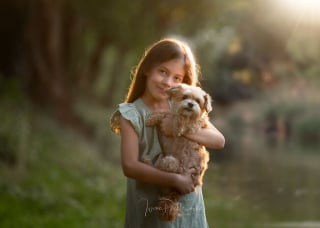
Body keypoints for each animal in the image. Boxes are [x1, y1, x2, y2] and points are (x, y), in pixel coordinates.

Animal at [146, 83, 212, 221]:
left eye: (198, 101)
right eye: (185, 97)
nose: (190, 104)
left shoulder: (188, 125)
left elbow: (173, 117)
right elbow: (165, 112)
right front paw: (153, 118)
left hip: (170, 162)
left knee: (156, 171)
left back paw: (148, 161)